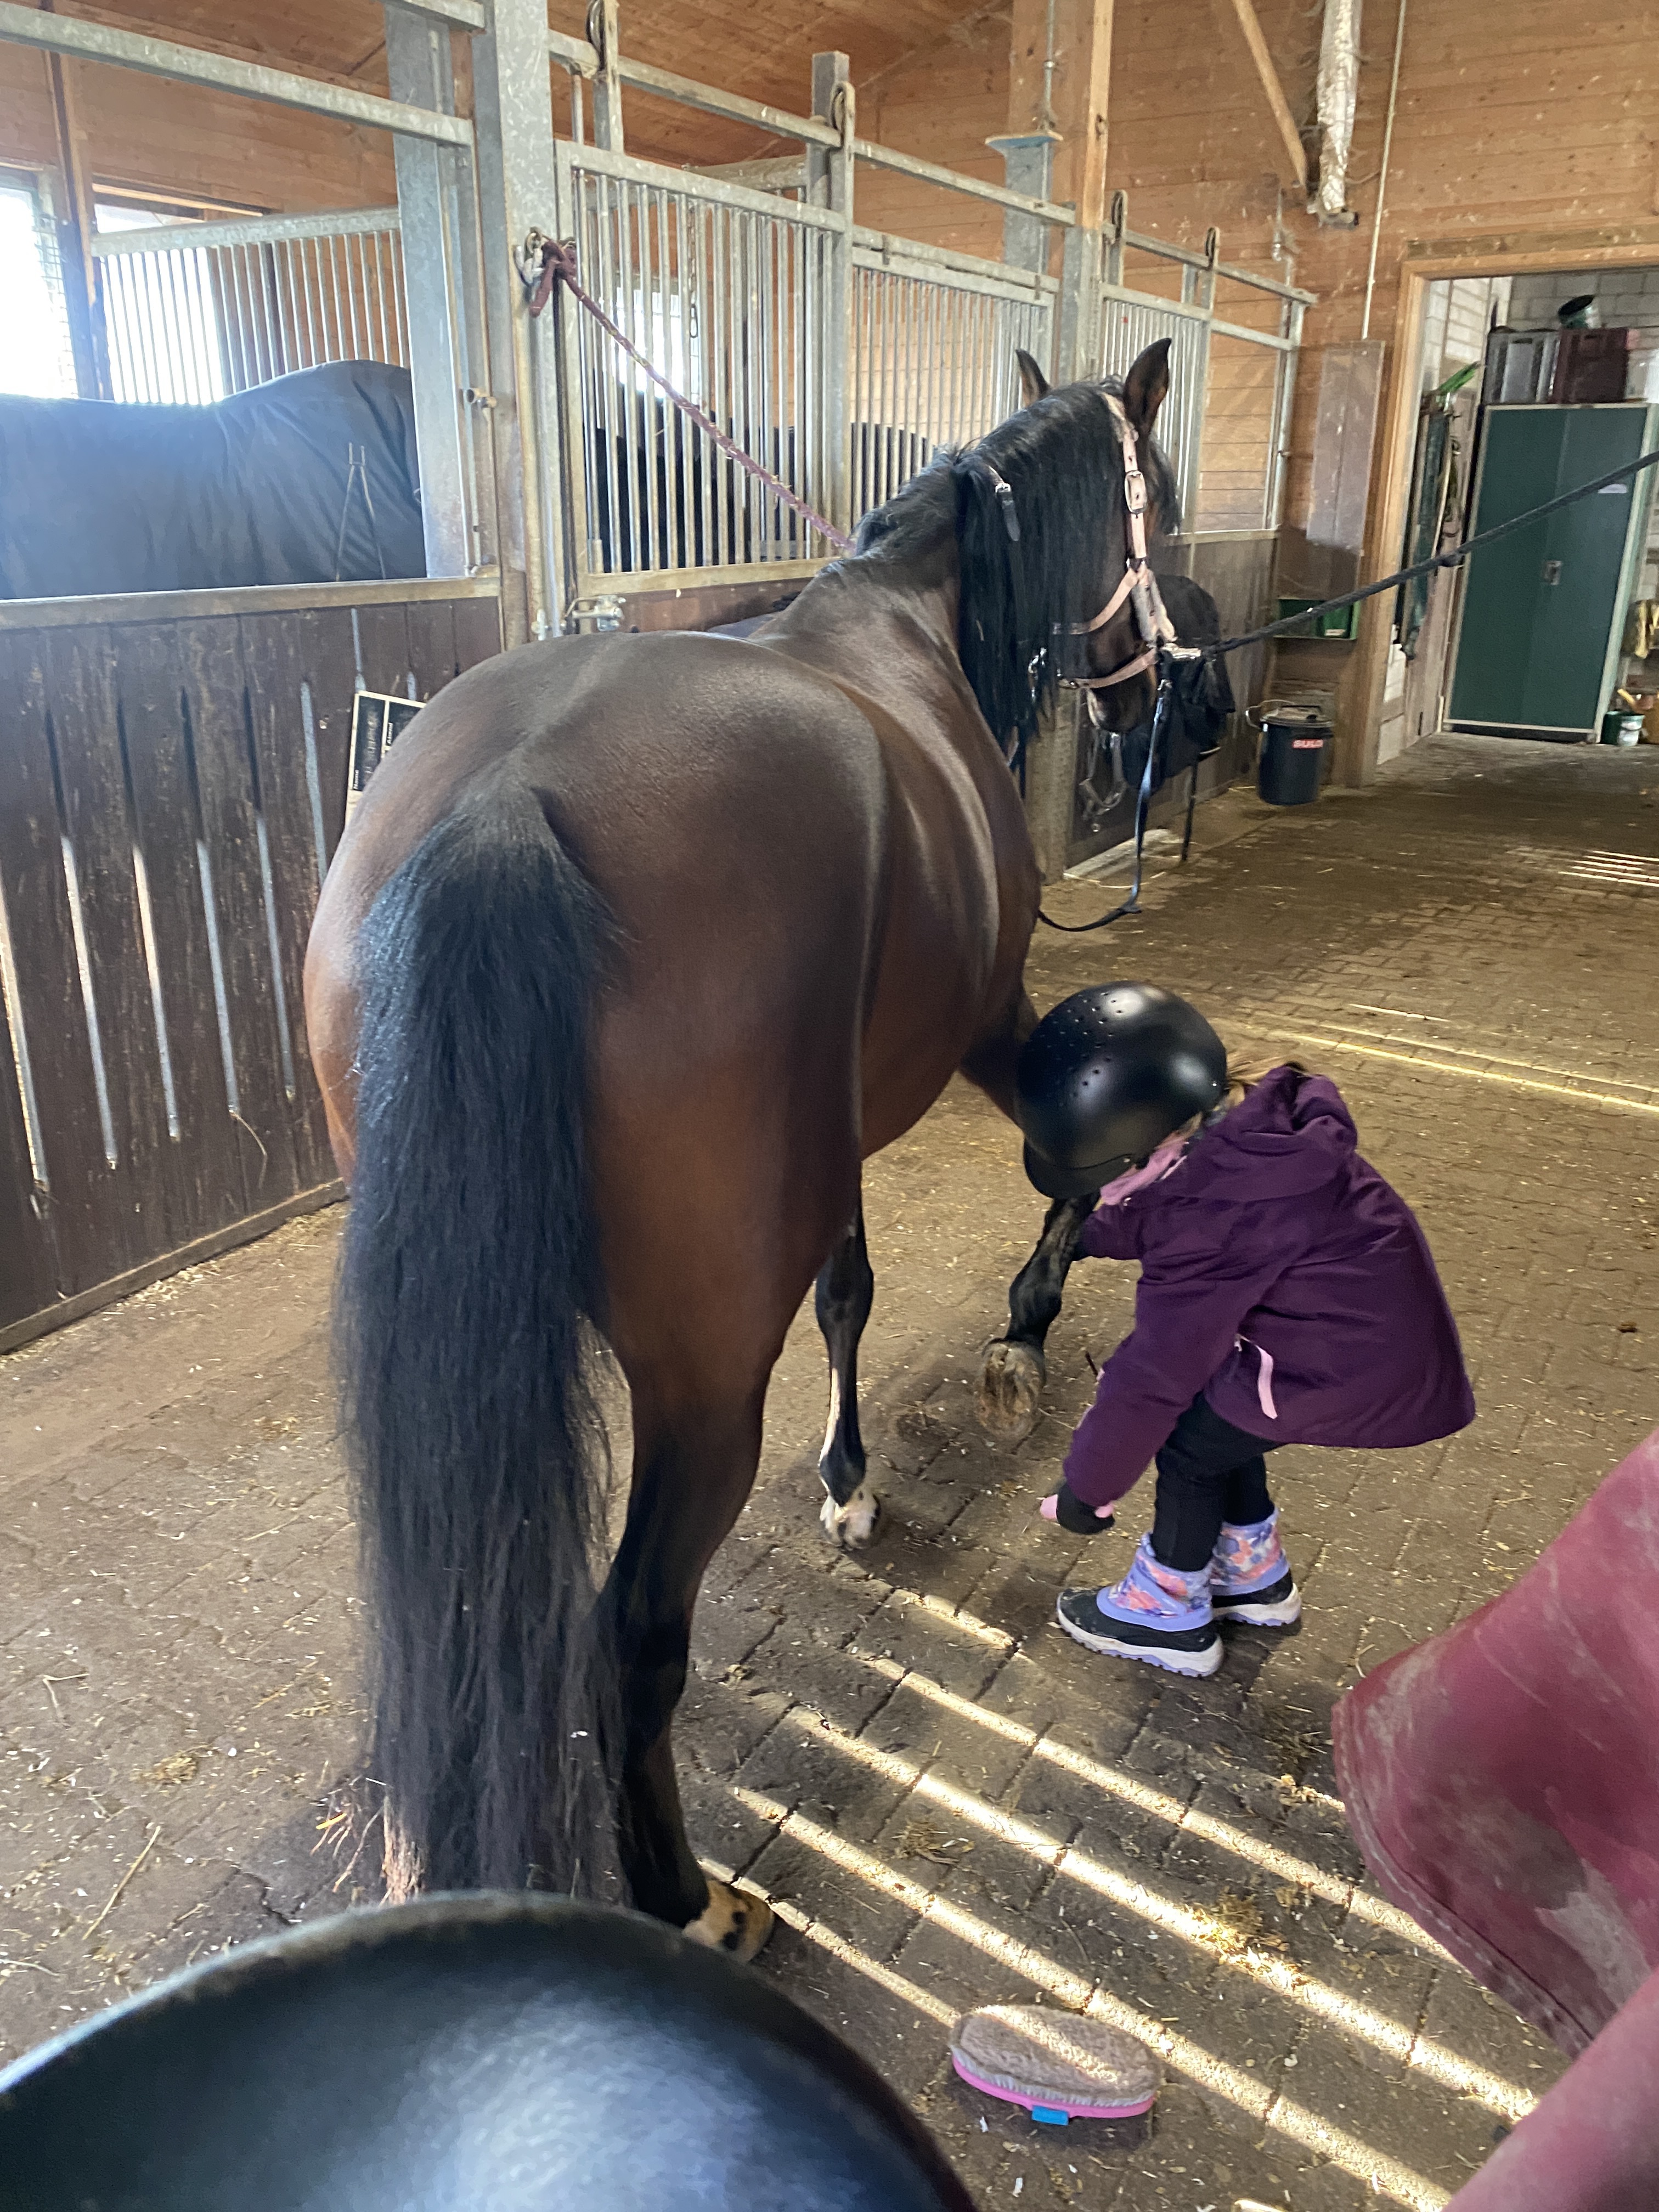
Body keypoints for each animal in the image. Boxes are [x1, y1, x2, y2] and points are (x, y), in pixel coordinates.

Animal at [303, 338, 1177, 1959]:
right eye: (1153, 484)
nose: (1174, 700)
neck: (910, 611)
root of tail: (506, 801)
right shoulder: (990, 1022)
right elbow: (1061, 1166)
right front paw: (1014, 1350)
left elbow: (851, 1284)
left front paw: (849, 1477)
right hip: (704, 1376)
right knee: (634, 1632)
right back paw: (684, 1895)